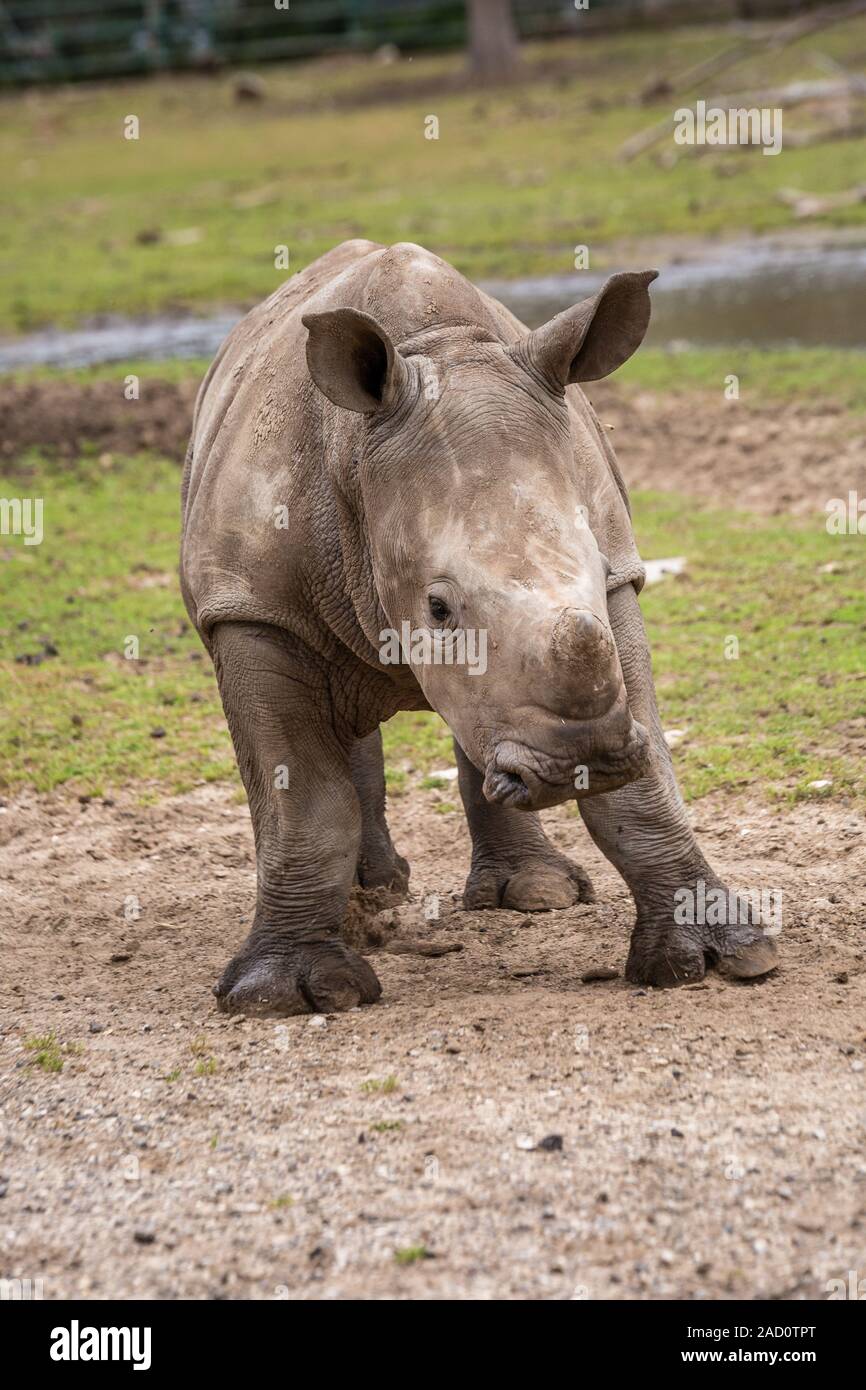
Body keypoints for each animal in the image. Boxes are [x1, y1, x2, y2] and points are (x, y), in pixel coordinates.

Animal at [183, 239, 778, 1017]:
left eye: (596, 570)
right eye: (437, 609)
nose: (584, 761)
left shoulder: (617, 575)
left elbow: (645, 787)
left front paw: (721, 958)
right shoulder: (252, 607)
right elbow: (303, 800)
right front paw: (283, 997)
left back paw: (532, 895)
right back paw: (376, 901)